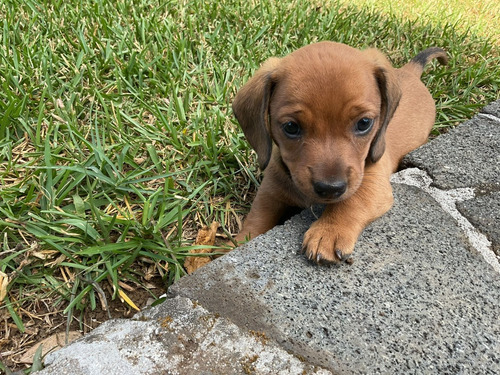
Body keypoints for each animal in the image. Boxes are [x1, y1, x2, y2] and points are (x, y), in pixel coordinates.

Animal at [232, 41, 448, 264]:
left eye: (364, 123)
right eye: (291, 127)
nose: (330, 188)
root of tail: (409, 72)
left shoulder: (374, 181)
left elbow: (353, 200)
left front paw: (328, 231)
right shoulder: (269, 194)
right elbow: (255, 222)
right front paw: (234, 246)